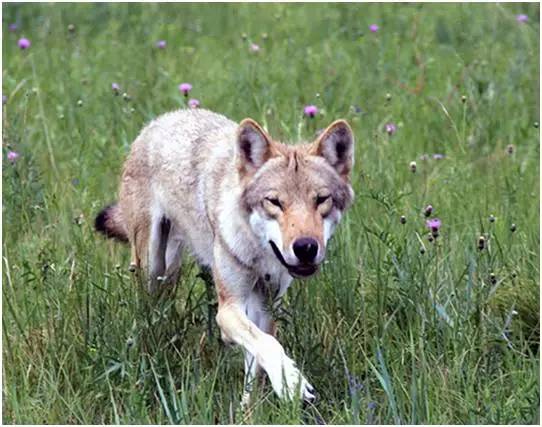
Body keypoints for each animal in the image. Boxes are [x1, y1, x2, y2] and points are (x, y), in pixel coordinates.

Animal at [95, 108, 356, 406]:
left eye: (321, 199)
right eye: (274, 202)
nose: (305, 247)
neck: (259, 253)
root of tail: (161, 119)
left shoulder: (266, 305)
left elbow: (257, 357)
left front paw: (249, 408)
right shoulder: (228, 308)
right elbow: (269, 344)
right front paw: (292, 383)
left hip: (170, 273)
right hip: (152, 269)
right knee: (146, 313)